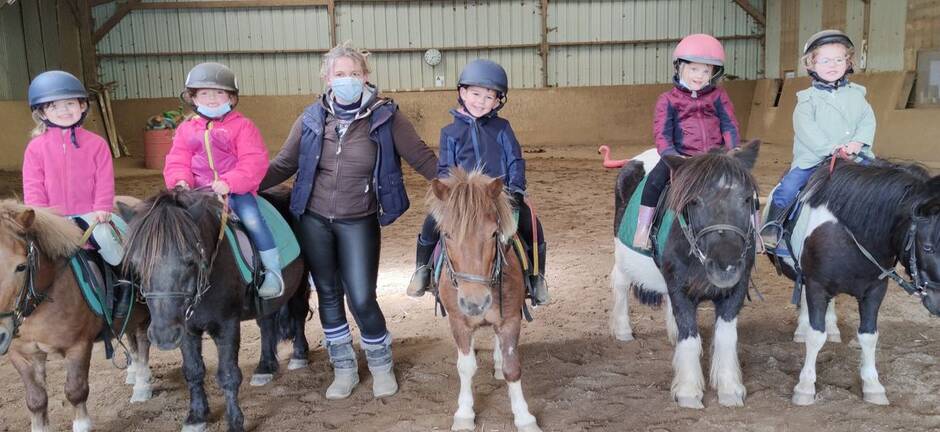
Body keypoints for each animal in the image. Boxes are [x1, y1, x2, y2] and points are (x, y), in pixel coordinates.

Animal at [0, 198, 151, 432]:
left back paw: (142, 385)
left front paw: (82, 424)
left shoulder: (78, 347)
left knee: (143, 344)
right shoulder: (22, 355)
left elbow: (75, 391)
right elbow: (36, 400)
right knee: (131, 339)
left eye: (21, 266)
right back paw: (133, 374)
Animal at [428, 168, 544, 432]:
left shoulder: (509, 319)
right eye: (447, 234)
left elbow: (513, 367)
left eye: (493, 233)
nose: (475, 303)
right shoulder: (458, 322)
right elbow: (465, 367)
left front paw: (524, 417)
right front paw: (464, 415)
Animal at [608, 141, 764, 408]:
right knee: (619, 282)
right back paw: (623, 330)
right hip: (623, 254)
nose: (725, 267)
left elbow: (725, 337)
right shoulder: (680, 289)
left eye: (747, 199)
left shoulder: (736, 290)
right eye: (694, 201)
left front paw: (729, 389)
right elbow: (690, 336)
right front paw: (689, 392)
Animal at [768, 159, 940, 404]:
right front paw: (805, 386)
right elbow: (815, 335)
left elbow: (869, 337)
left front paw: (873, 386)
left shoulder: (876, 290)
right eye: (927, 248)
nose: (938, 303)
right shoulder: (817, 285)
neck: (850, 234)